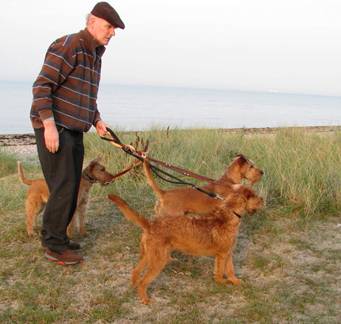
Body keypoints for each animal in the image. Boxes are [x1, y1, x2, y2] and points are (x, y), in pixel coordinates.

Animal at [108, 186, 262, 306]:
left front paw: (236, 282)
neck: (228, 214)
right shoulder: (222, 254)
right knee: (143, 281)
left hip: (148, 255)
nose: (263, 200)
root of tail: (150, 225)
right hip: (158, 261)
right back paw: (145, 300)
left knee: (135, 271)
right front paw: (221, 283)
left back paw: (134, 288)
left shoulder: (228, 253)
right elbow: (220, 271)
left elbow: (230, 270)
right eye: (254, 195)